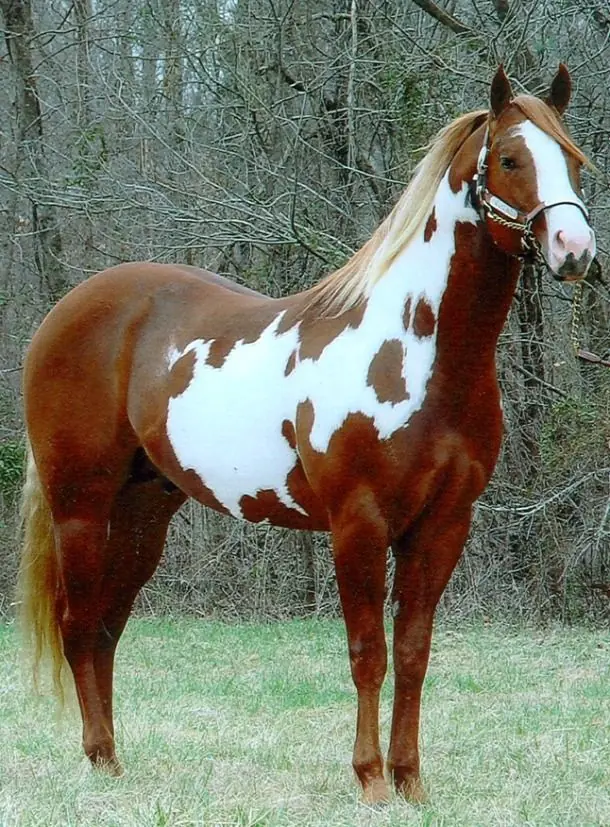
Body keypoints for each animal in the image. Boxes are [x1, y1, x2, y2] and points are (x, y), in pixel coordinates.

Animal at [18, 65, 594, 804]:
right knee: (78, 624)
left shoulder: (443, 525)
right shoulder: (358, 523)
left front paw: (411, 781)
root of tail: (65, 312)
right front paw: (371, 780)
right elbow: (367, 654)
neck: (417, 354)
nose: (574, 250)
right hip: (81, 508)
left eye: (573, 160)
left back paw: (114, 761)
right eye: (511, 160)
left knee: (107, 628)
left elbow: (413, 653)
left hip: (144, 511)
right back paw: (96, 756)